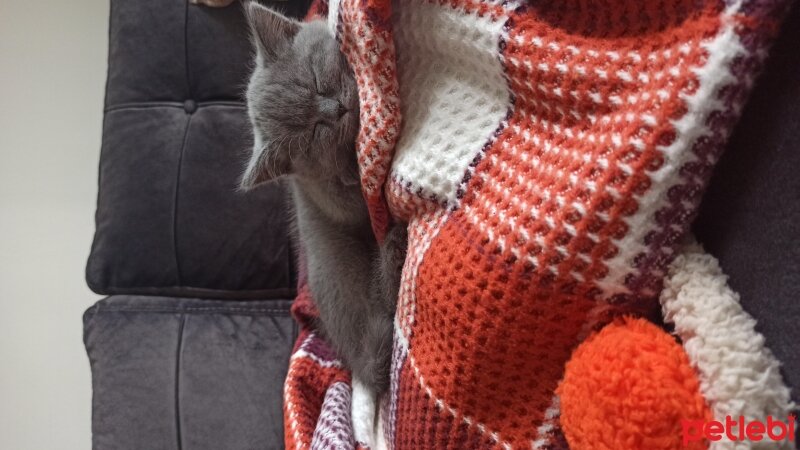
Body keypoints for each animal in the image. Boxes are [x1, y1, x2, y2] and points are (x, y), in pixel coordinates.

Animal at [239, 0, 406, 394]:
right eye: (313, 131)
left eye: (315, 80)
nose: (336, 110)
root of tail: (356, 361)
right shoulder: (332, 198)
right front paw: (351, 169)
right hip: (338, 268)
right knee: (382, 310)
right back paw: (394, 253)